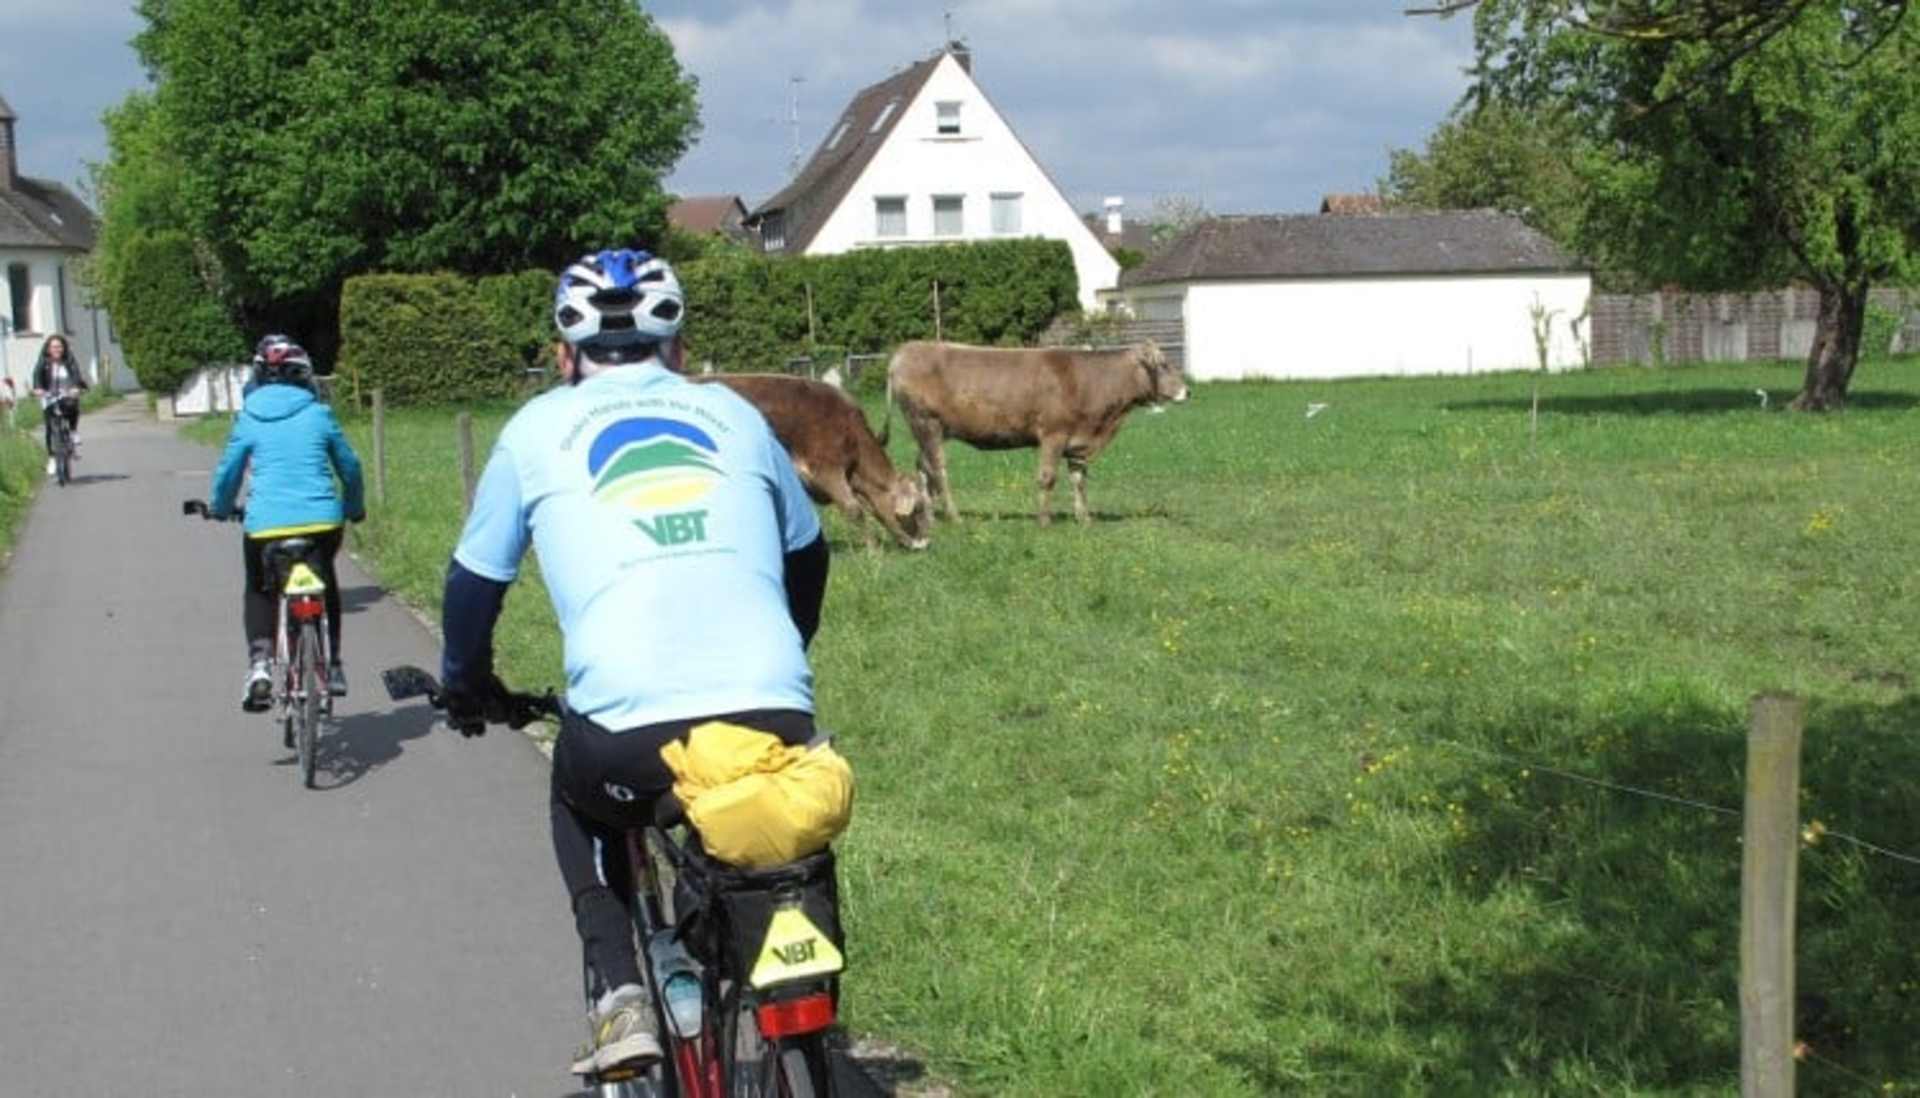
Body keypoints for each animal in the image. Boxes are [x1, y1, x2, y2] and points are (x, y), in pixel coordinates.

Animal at [880, 340, 1189, 525]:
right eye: (1164, 364)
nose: (1187, 391)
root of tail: (907, 350)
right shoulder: (1053, 434)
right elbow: (1048, 478)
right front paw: (1044, 520)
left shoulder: (1077, 443)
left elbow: (1079, 480)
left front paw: (1084, 519)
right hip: (926, 423)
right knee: (937, 469)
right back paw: (954, 516)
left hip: (928, 430)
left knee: (922, 467)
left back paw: (931, 516)